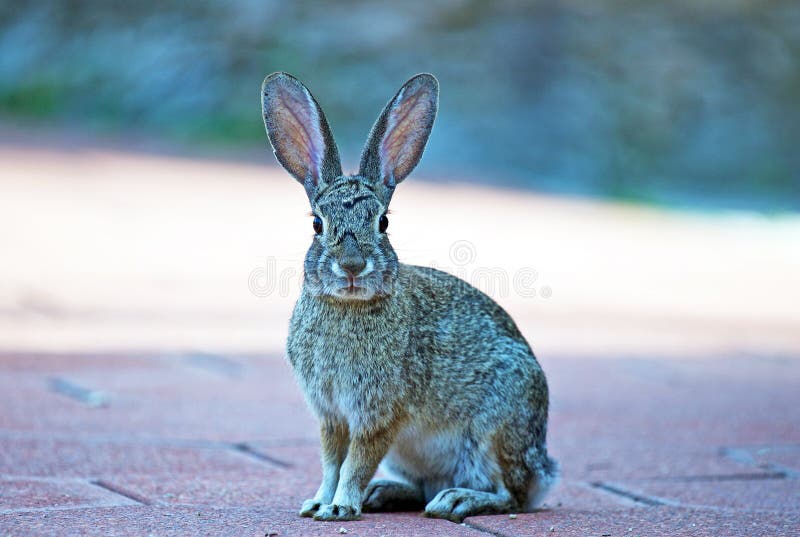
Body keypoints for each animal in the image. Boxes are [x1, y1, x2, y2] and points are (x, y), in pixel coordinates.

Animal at [261, 72, 557, 523]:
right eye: (316, 224)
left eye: (383, 222)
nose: (352, 266)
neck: (349, 307)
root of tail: (544, 470)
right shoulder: (331, 415)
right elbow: (331, 462)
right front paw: (317, 502)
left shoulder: (380, 413)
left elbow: (356, 462)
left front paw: (340, 507)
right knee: (425, 487)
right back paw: (383, 493)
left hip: (494, 430)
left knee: (512, 495)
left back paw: (456, 500)